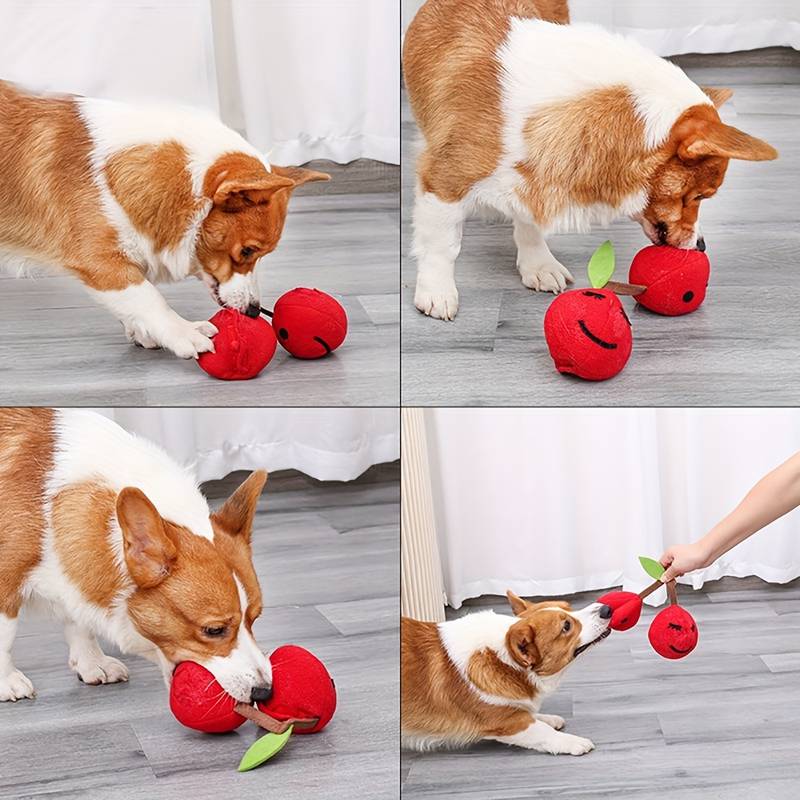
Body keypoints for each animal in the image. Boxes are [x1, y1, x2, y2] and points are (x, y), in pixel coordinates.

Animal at [0, 80, 330, 356]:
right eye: (247, 251)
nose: (253, 310)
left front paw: (143, 332)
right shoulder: (99, 260)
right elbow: (148, 296)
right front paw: (185, 333)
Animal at [0, 410, 272, 704]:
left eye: (255, 618)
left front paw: (92, 663)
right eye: (214, 630)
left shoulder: (74, 576)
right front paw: (7, 682)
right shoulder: (6, 580)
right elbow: (6, 634)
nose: (266, 691)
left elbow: (79, 621)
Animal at [404, 0, 780, 318]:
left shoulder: (536, 174)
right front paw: (437, 292)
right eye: (700, 196)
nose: (702, 247)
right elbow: (442, 244)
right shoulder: (443, 180)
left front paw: (538, 264)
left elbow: (529, 221)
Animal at [404, 592, 608, 756]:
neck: (505, 660)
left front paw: (549, 718)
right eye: (566, 626)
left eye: (569, 607)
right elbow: (541, 730)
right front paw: (574, 741)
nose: (606, 609)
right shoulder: (507, 722)